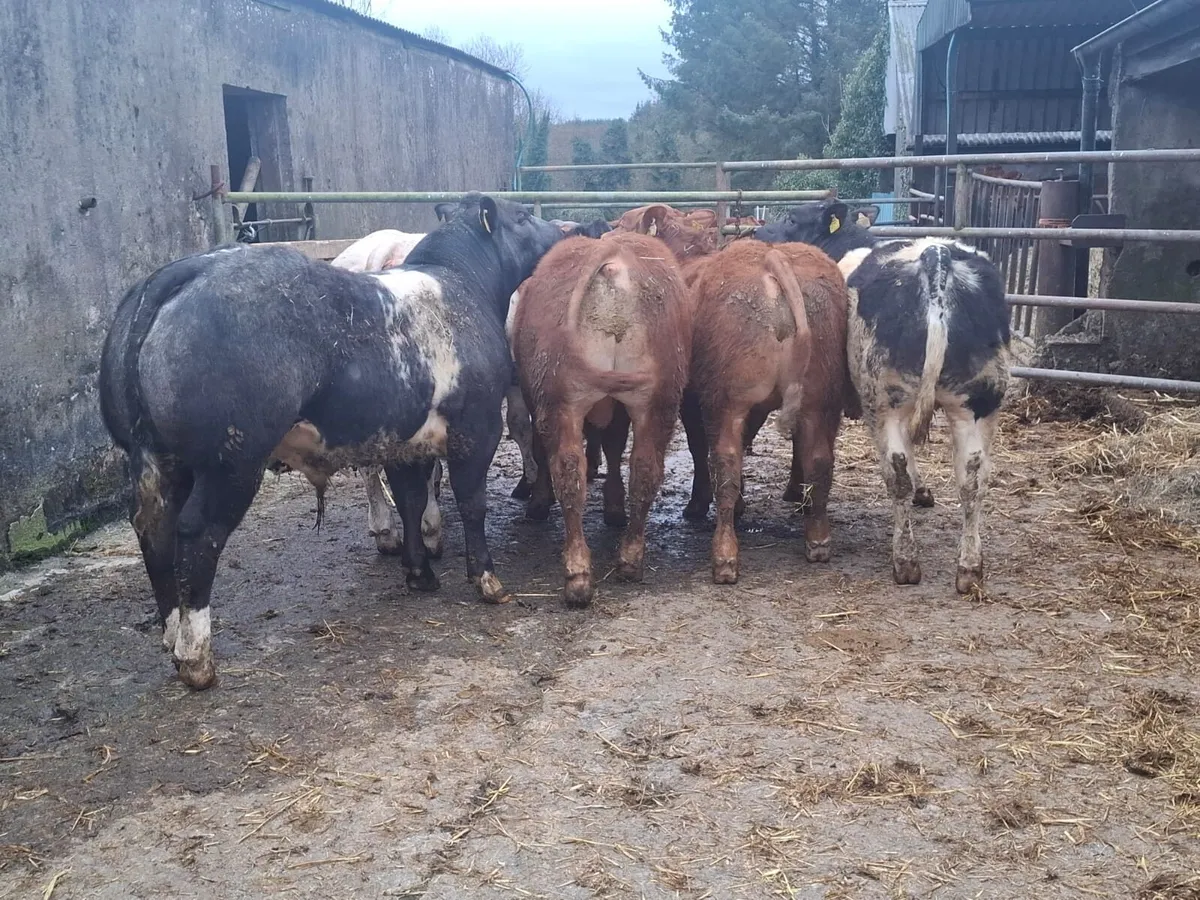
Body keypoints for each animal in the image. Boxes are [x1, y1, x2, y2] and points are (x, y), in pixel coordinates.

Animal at [99, 194, 563, 689]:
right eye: (522, 216)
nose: (560, 229)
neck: (461, 283)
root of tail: (182, 271)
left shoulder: (404, 440)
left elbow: (412, 500)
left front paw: (419, 572)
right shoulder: (476, 427)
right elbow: (472, 503)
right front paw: (487, 579)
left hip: (159, 457)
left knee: (154, 528)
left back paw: (171, 632)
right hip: (230, 461)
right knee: (196, 532)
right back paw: (196, 656)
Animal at [513, 233, 691, 607]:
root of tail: (614, 259)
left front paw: (538, 502)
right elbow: (614, 446)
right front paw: (613, 507)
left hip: (560, 403)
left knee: (567, 470)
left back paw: (577, 574)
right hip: (658, 401)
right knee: (645, 469)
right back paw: (630, 558)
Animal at [684, 240, 851, 583]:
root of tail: (773, 255)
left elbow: (698, 450)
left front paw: (698, 504)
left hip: (725, 403)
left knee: (725, 465)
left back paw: (724, 557)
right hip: (822, 400)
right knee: (819, 461)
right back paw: (817, 540)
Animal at [757, 200, 1010, 593]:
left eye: (792, 218)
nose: (755, 231)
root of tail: (935, 255)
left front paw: (796, 493)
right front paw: (925, 491)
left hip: (886, 401)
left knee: (897, 471)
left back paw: (905, 562)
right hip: (978, 403)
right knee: (973, 478)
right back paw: (969, 569)